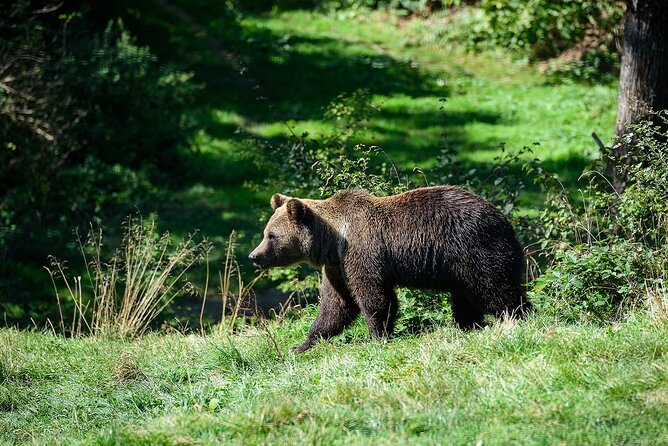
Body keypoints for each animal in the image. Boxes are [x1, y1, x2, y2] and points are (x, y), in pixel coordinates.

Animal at [248, 186, 531, 353]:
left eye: (271, 236)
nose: (254, 256)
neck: (333, 239)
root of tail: (504, 220)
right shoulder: (337, 267)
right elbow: (336, 306)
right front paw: (302, 344)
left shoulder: (361, 253)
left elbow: (374, 297)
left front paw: (377, 335)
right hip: (460, 269)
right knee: (466, 299)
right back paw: (470, 325)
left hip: (475, 249)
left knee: (496, 288)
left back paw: (519, 317)